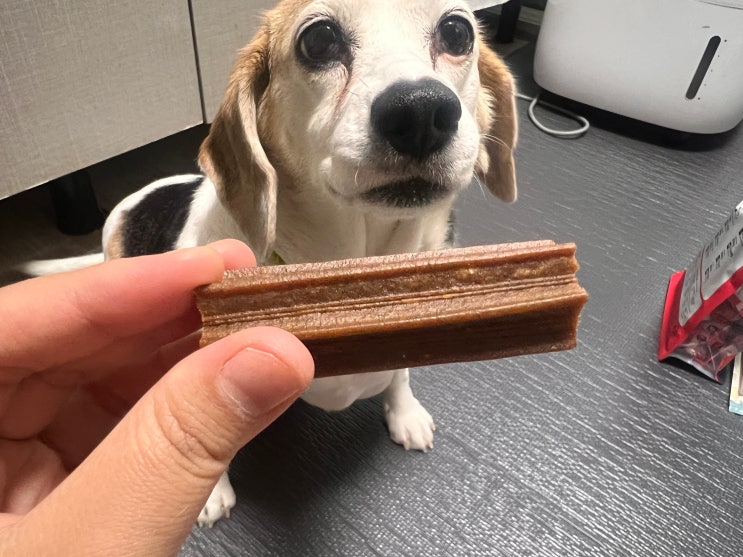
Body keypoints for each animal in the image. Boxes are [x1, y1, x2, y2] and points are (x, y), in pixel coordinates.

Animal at [42, 0, 518, 527]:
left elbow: (401, 372)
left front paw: (405, 412)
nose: (422, 110)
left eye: (457, 32)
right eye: (319, 39)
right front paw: (209, 494)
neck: (354, 274)